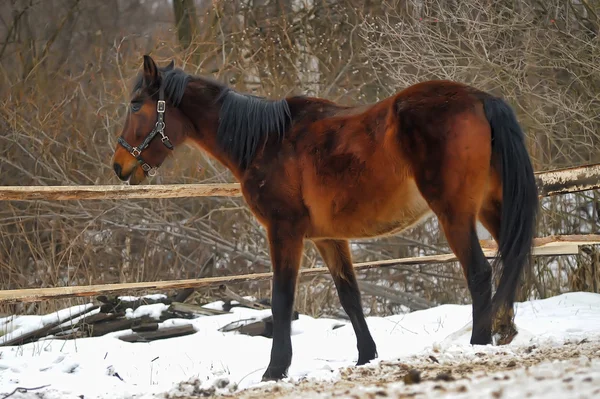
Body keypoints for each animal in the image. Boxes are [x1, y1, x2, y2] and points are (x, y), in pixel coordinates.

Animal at [112, 55, 540, 382]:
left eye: (135, 104)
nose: (118, 166)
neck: (265, 141)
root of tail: (481, 99)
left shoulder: (284, 232)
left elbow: (281, 300)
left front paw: (275, 369)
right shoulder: (328, 238)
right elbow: (349, 296)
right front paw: (367, 356)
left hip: (455, 213)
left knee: (480, 272)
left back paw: (480, 341)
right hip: (491, 207)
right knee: (514, 258)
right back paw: (504, 330)